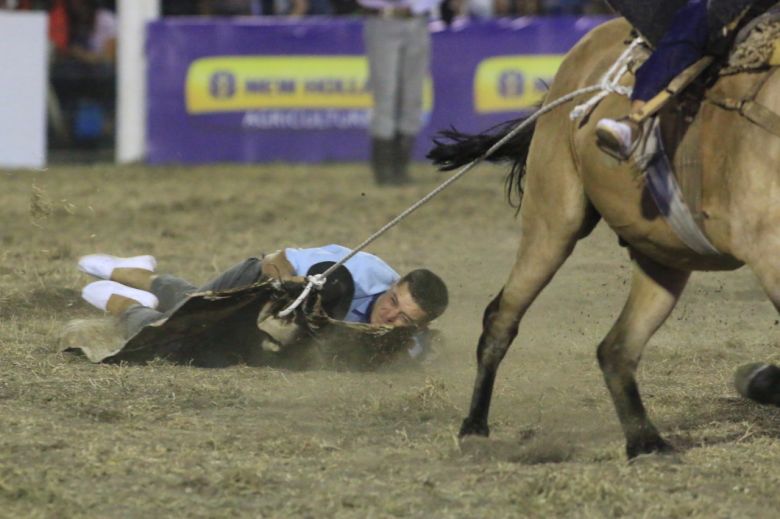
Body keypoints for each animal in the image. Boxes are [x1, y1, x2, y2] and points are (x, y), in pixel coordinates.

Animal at [430, 17, 776, 460]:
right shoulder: (767, 253)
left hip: (662, 255)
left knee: (616, 348)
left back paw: (645, 441)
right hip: (554, 222)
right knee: (502, 317)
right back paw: (474, 427)